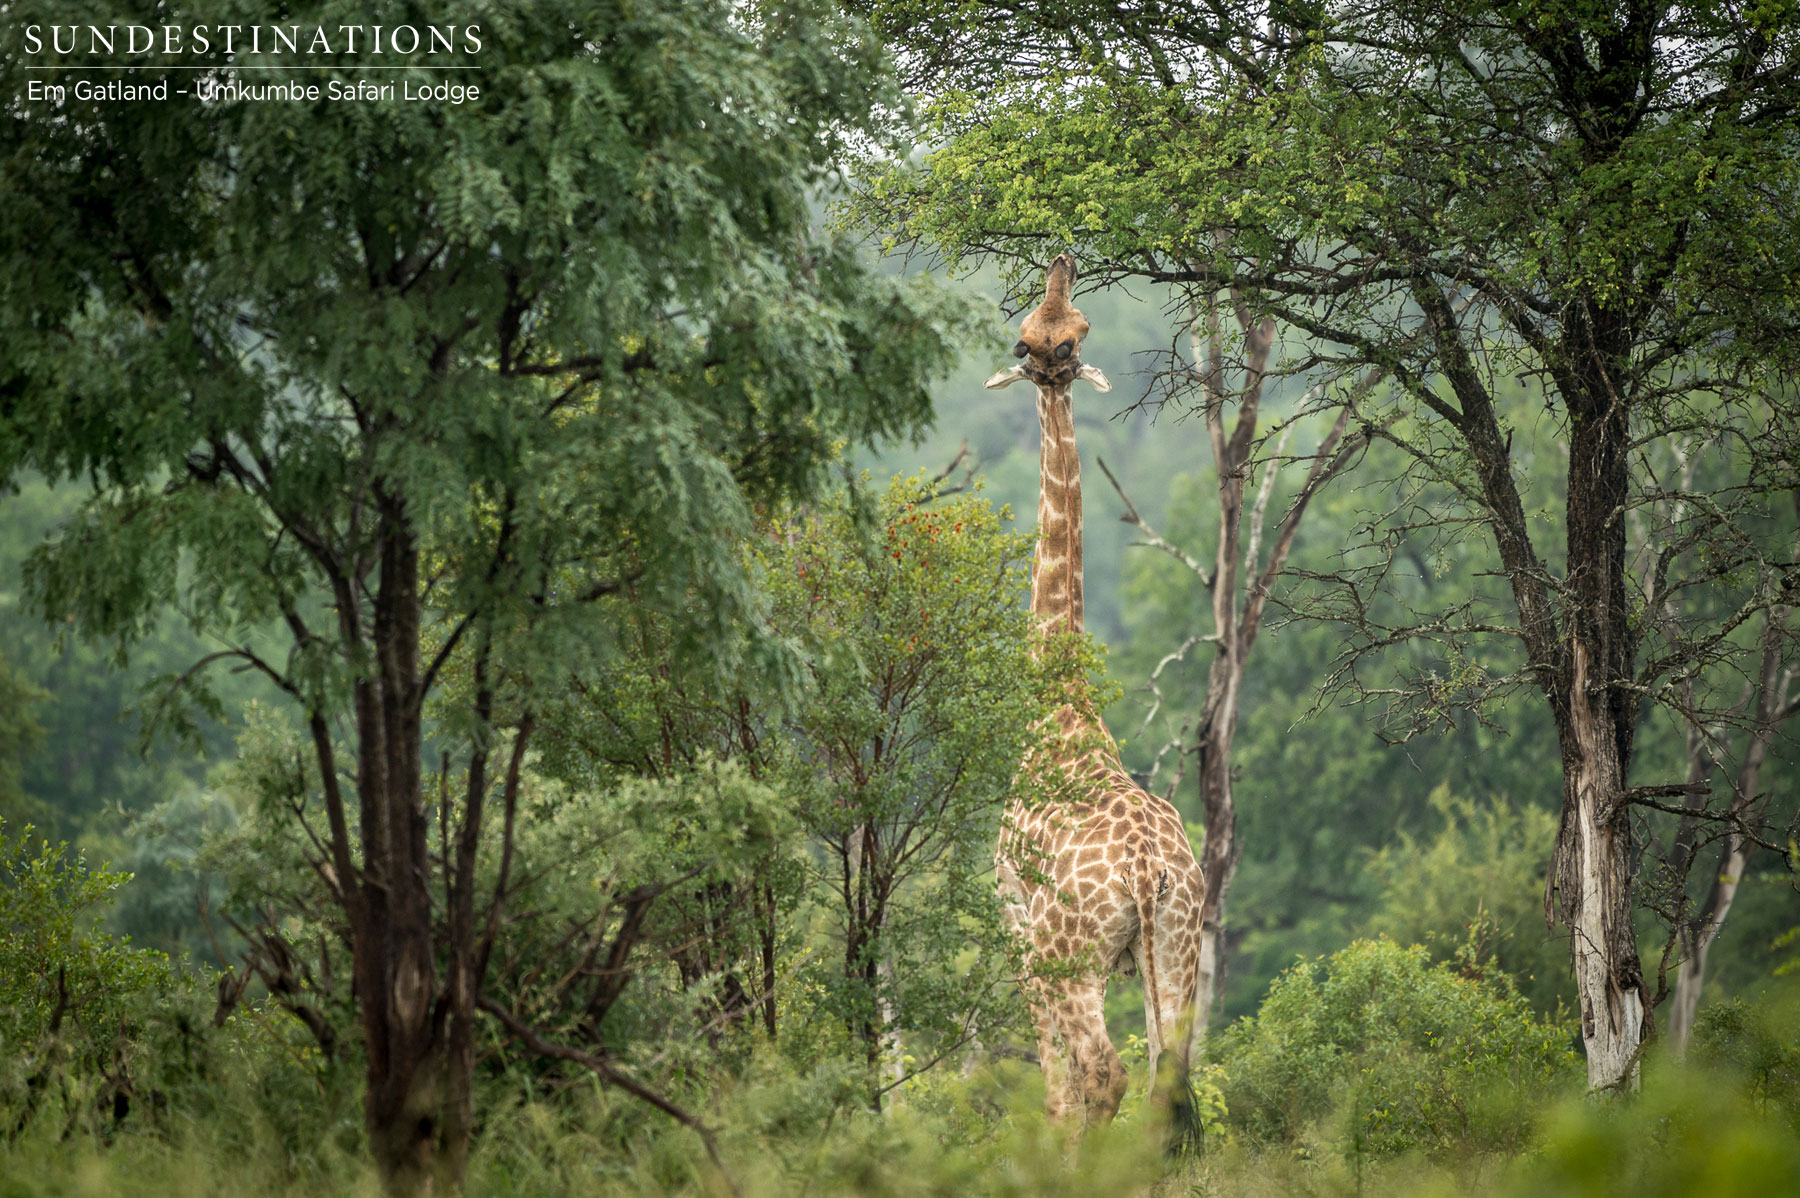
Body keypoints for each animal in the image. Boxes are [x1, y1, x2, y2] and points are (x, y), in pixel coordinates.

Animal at [987, 255, 1208, 1137]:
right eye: (1038, 336)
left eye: (1068, 334)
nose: (1051, 362)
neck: (1061, 697)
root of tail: (1149, 868)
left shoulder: (1016, 923)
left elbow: (1056, 1085)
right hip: (1177, 940)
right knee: (1167, 1075)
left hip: (1072, 952)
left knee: (1105, 1072)